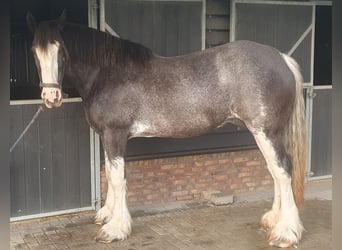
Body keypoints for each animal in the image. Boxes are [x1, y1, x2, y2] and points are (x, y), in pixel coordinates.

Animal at [26, 11, 308, 248]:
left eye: (61, 50)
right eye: (34, 51)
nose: (51, 97)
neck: (108, 73)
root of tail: (281, 58)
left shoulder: (115, 134)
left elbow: (117, 179)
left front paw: (115, 229)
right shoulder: (107, 137)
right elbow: (111, 175)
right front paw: (107, 215)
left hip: (266, 132)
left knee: (283, 171)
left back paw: (286, 232)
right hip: (267, 133)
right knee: (275, 171)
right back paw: (272, 219)